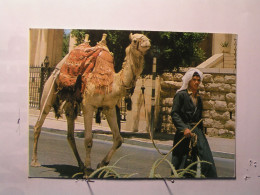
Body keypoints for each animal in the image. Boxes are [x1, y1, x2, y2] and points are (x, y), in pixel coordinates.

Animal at [30, 32, 151, 177]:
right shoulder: (88, 105)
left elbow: (118, 139)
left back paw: (80, 165)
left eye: (145, 36)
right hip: (49, 91)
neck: (113, 82)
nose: (147, 42)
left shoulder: (109, 108)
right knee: (38, 124)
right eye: (135, 40)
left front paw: (100, 165)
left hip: (70, 104)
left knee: (70, 135)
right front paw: (88, 170)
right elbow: (88, 140)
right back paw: (35, 161)